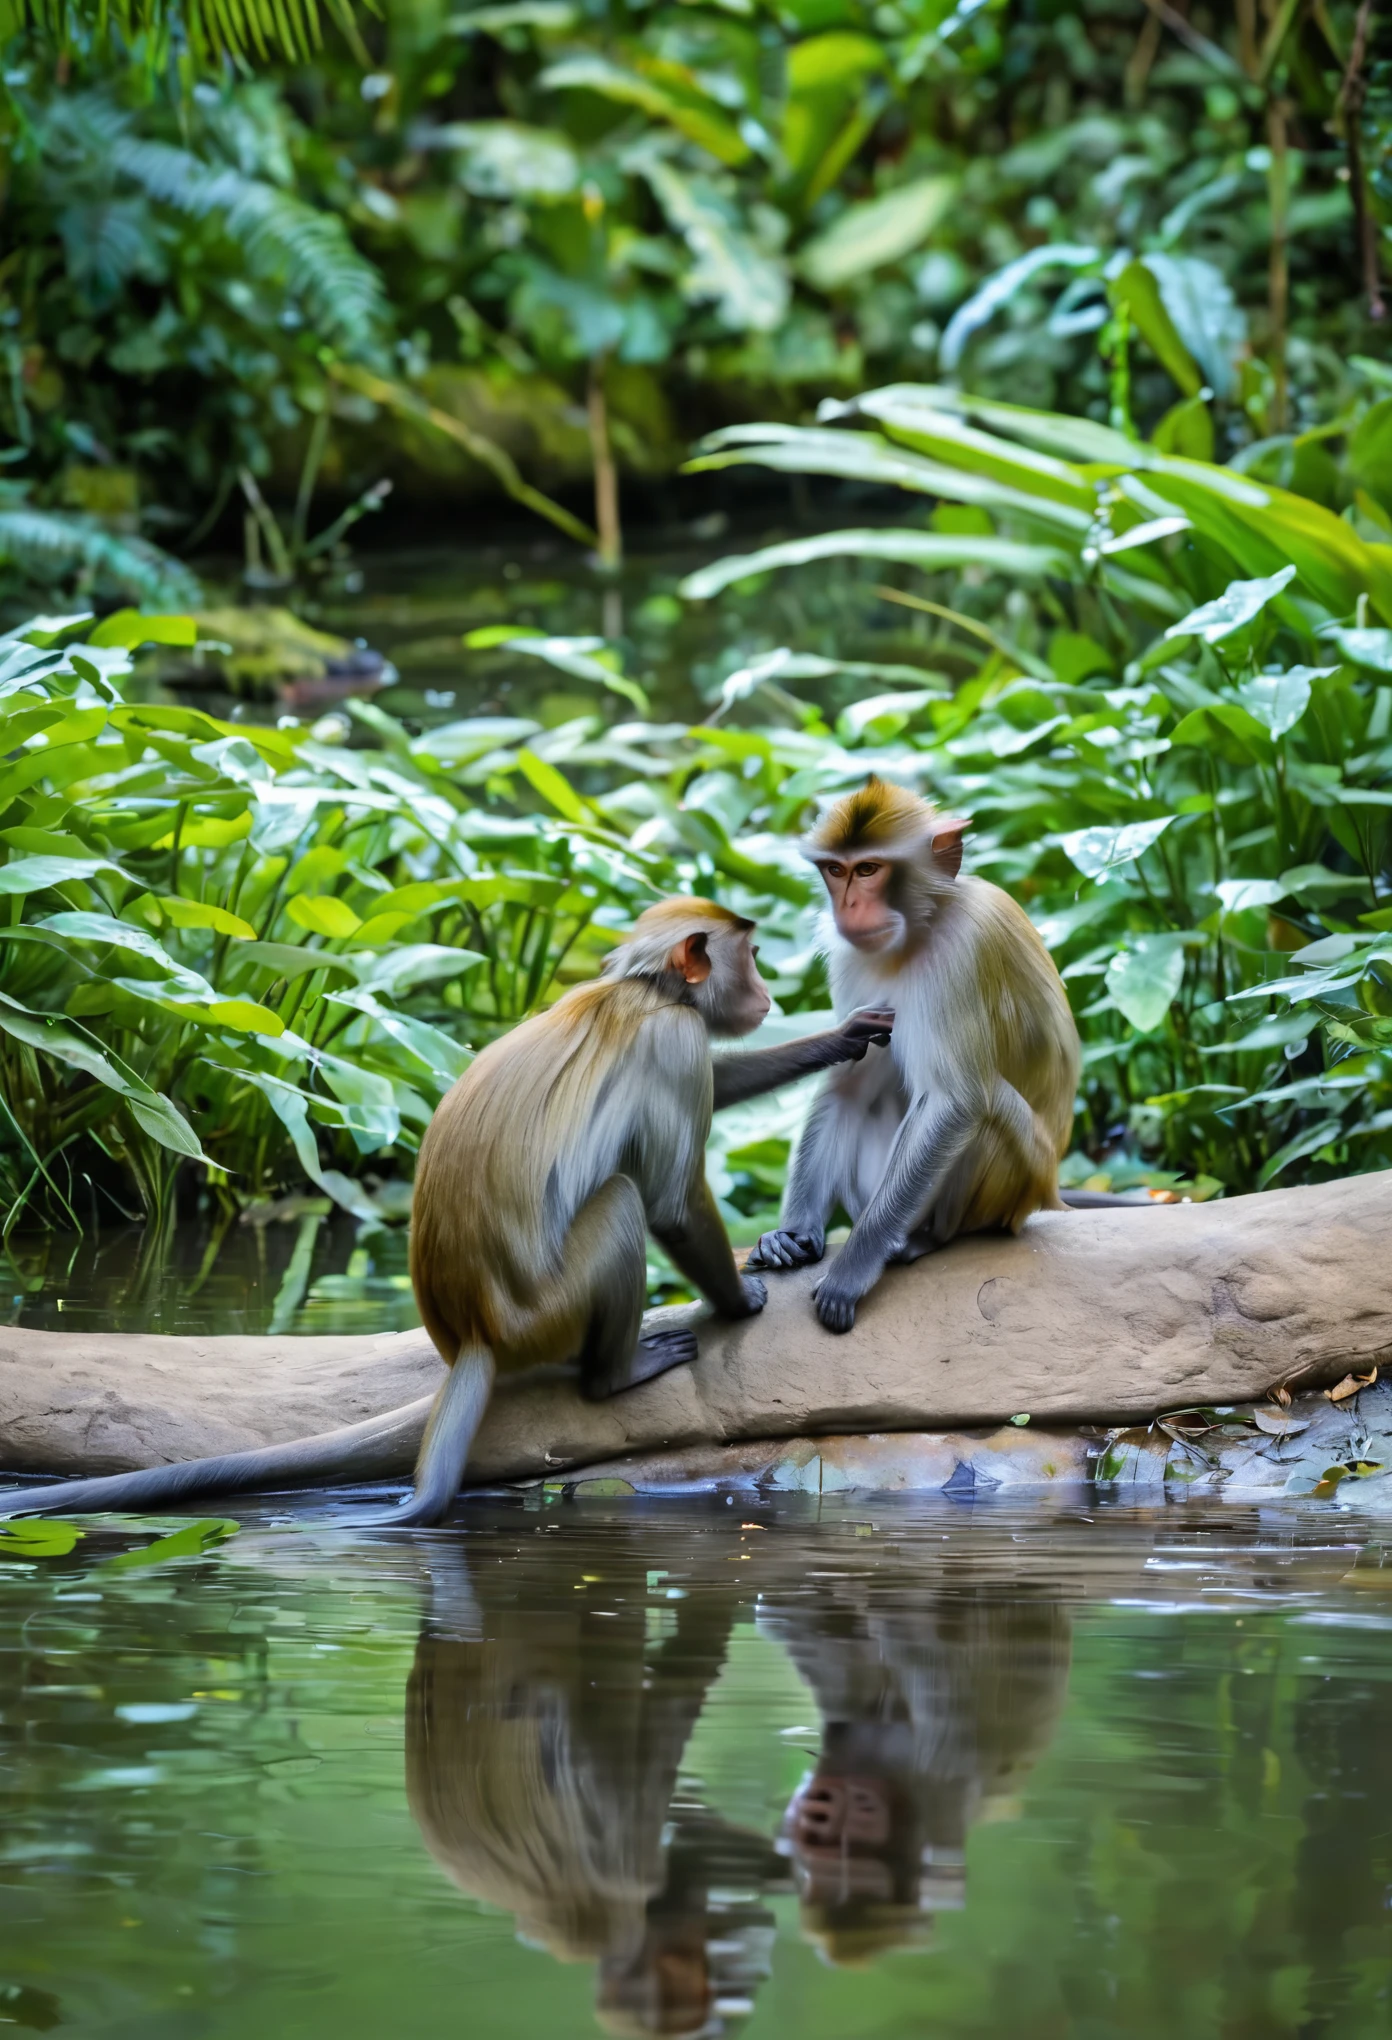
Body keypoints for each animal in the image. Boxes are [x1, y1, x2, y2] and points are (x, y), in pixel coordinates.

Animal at [5, 901, 889, 1525]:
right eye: (754, 956)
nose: (770, 992)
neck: (639, 991)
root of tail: (473, 1333)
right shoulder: (671, 1040)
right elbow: (672, 1200)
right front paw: (740, 1298)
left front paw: (840, 1038)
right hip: (550, 1310)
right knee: (622, 1202)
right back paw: (615, 1374)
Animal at [747, 779, 1151, 1338]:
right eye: (836, 870)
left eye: (868, 869)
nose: (848, 905)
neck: (920, 926)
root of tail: (1044, 1192)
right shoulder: (851, 957)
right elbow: (849, 1085)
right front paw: (796, 1232)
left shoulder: (961, 950)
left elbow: (955, 1102)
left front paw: (852, 1268)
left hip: (1010, 1191)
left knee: (986, 1106)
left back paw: (922, 1240)